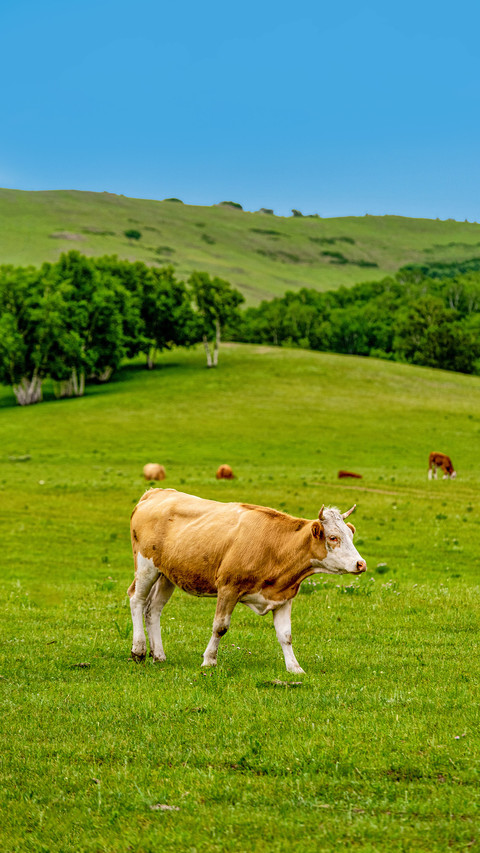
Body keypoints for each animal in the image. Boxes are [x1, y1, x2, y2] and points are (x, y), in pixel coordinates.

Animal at [127, 488, 367, 674]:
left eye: (351, 535)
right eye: (333, 537)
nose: (360, 564)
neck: (276, 547)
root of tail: (156, 493)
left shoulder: (284, 596)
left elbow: (286, 635)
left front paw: (294, 667)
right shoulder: (228, 587)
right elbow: (220, 627)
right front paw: (209, 660)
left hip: (167, 574)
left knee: (153, 609)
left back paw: (159, 655)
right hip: (146, 566)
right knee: (136, 599)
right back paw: (138, 650)